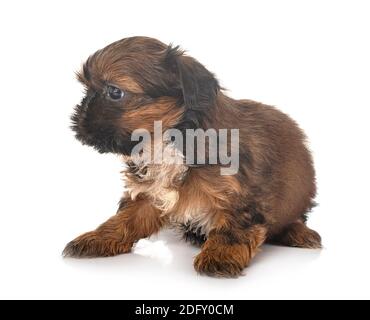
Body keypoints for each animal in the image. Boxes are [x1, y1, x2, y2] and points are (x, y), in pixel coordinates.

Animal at [63, 35, 320, 278]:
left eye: (115, 92)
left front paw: (220, 256)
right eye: (86, 89)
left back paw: (298, 232)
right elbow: (125, 220)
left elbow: (232, 229)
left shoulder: (242, 194)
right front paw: (97, 238)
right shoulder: (150, 194)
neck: (168, 141)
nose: (79, 116)